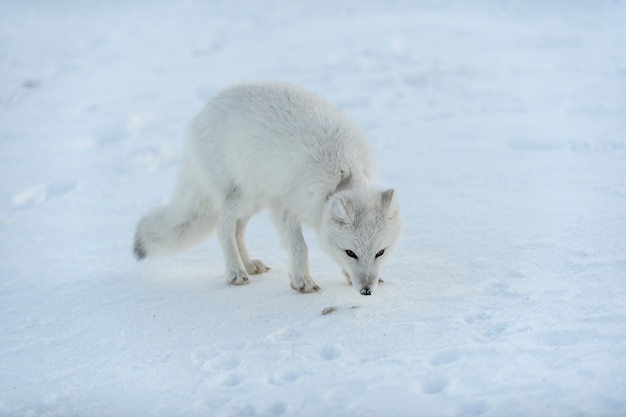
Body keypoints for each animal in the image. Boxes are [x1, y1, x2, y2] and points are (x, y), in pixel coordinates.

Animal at [134, 81, 402, 294]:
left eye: (380, 252)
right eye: (351, 252)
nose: (366, 291)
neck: (341, 173)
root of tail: (201, 115)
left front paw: (347, 276)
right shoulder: (285, 207)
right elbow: (300, 247)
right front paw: (302, 282)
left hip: (254, 200)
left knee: (237, 230)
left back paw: (249, 265)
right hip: (239, 195)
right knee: (224, 229)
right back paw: (235, 272)